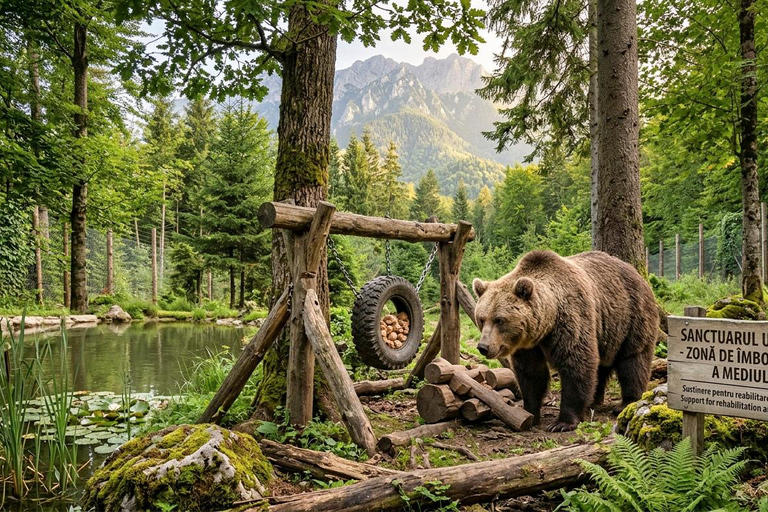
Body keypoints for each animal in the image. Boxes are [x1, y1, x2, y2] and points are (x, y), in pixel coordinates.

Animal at [472, 250, 658, 432]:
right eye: (481, 319)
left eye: (499, 320)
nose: (483, 347)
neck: (547, 323)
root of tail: (636, 272)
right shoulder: (528, 345)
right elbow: (531, 373)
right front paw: (529, 412)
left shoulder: (571, 320)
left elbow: (576, 364)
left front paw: (562, 422)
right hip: (606, 332)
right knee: (601, 365)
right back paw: (593, 399)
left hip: (631, 316)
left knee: (633, 360)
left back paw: (626, 403)